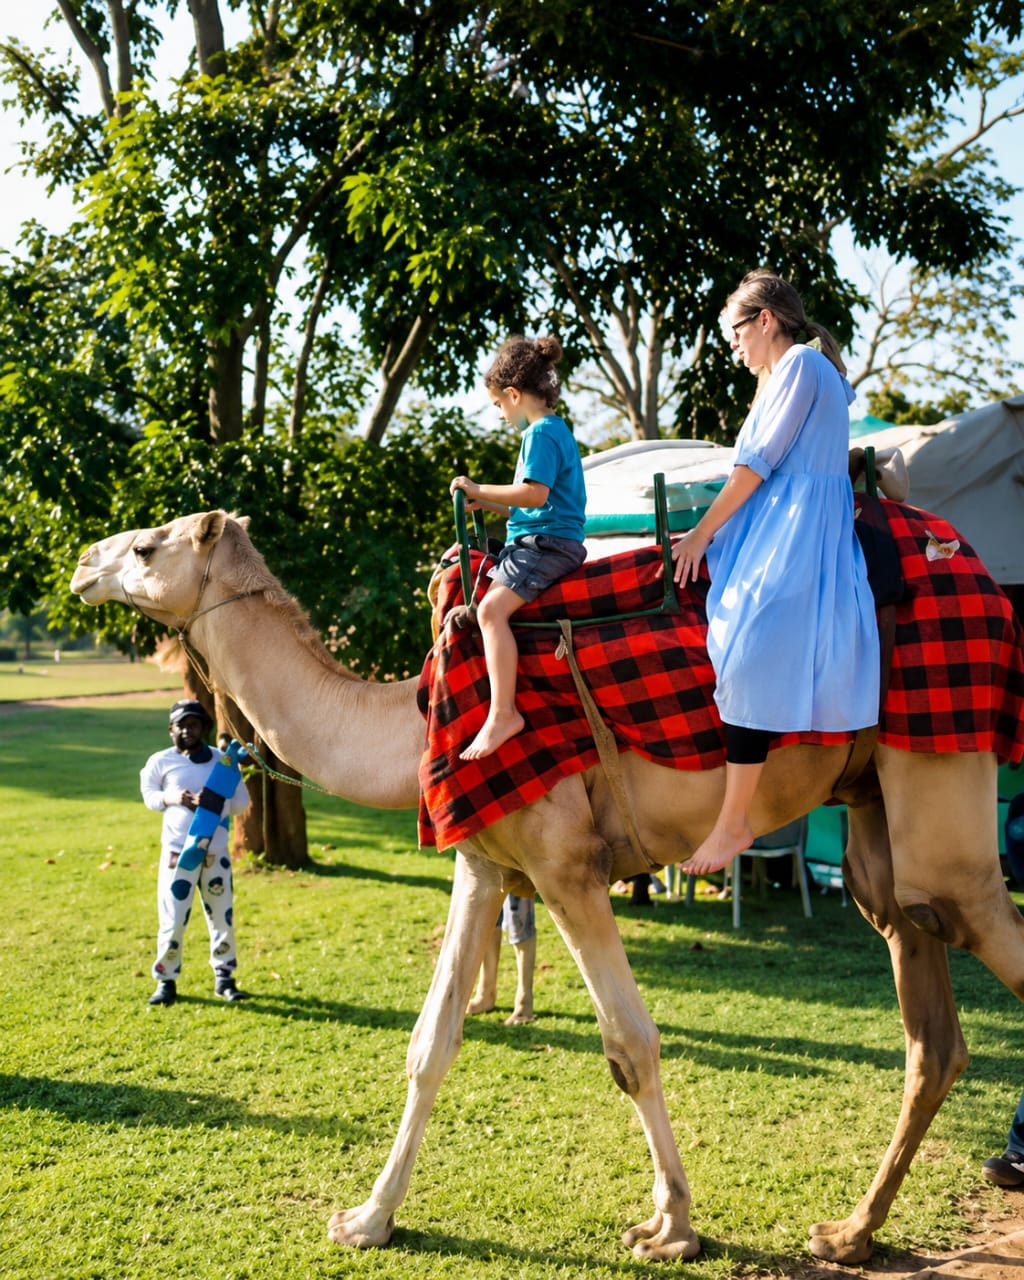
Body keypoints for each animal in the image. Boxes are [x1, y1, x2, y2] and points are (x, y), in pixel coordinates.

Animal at [70, 508, 1024, 1266]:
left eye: (148, 547)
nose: (83, 562)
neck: (409, 720)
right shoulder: (486, 859)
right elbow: (430, 1043)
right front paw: (367, 1220)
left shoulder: (567, 866)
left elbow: (630, 1045)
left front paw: (672, 1229)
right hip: (875, 813)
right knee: (928, 1021)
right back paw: (849, 1232)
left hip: (942, 784)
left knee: (971, 916)